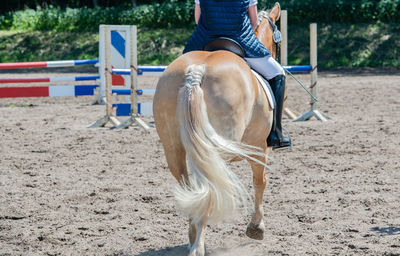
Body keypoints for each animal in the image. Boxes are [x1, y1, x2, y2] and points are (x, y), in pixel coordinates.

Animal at [152, 2, 282, 256]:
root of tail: (197, 71)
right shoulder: (259, 147)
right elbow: (260, 182)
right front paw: (256, 228)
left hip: (174, 148)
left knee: (190, 187)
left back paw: (194, 237)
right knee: (211, 188)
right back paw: (198, 246)